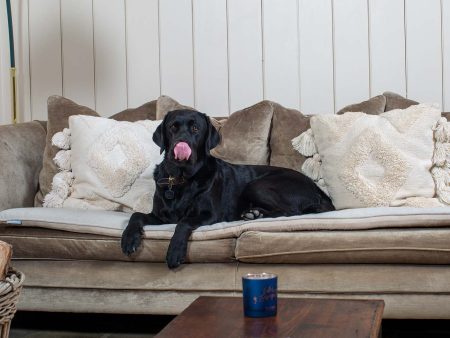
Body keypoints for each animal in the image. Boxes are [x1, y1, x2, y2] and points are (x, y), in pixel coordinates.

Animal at [119, 109, 334, 268]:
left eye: (195, 128)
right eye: (172, 127)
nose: (181, 143)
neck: (180, 179)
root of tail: (317, 189)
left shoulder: (209, 214)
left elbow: (183, 223)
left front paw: (174, 252)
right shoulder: (161, 216)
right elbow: (136, 215)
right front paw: (129, 239)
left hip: (256, 185)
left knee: (291, 211)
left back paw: (255, 215)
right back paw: (253, 214)